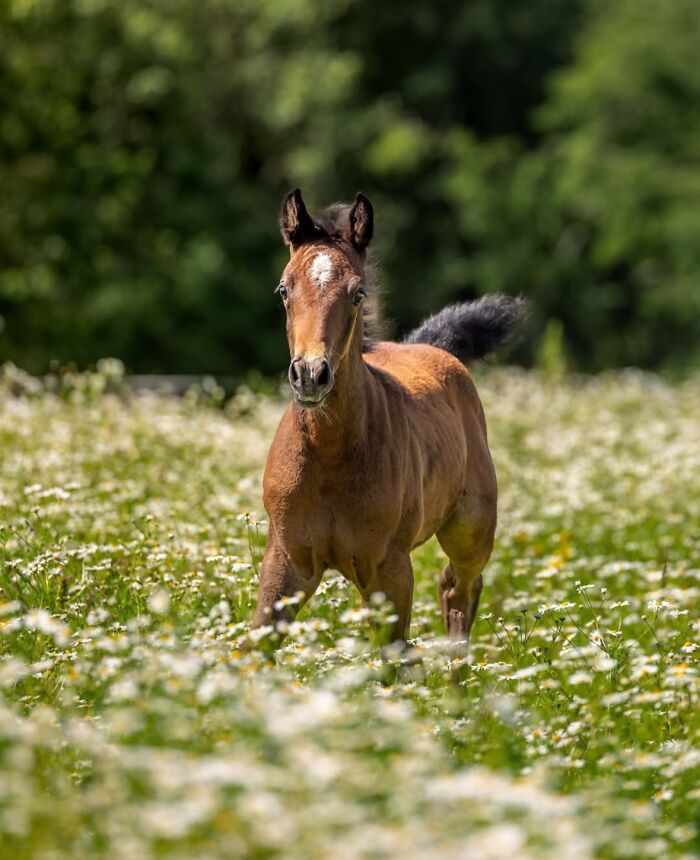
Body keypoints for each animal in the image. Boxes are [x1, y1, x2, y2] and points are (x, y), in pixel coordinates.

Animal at [250, 189, 524, 645]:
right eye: (284, 289)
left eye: (358, 293)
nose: (310, 375)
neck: (328, 456)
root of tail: (434, 349)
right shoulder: (285, 561)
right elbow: (254, 647)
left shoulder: (388, 570)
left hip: (471, 530)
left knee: (461, 588)